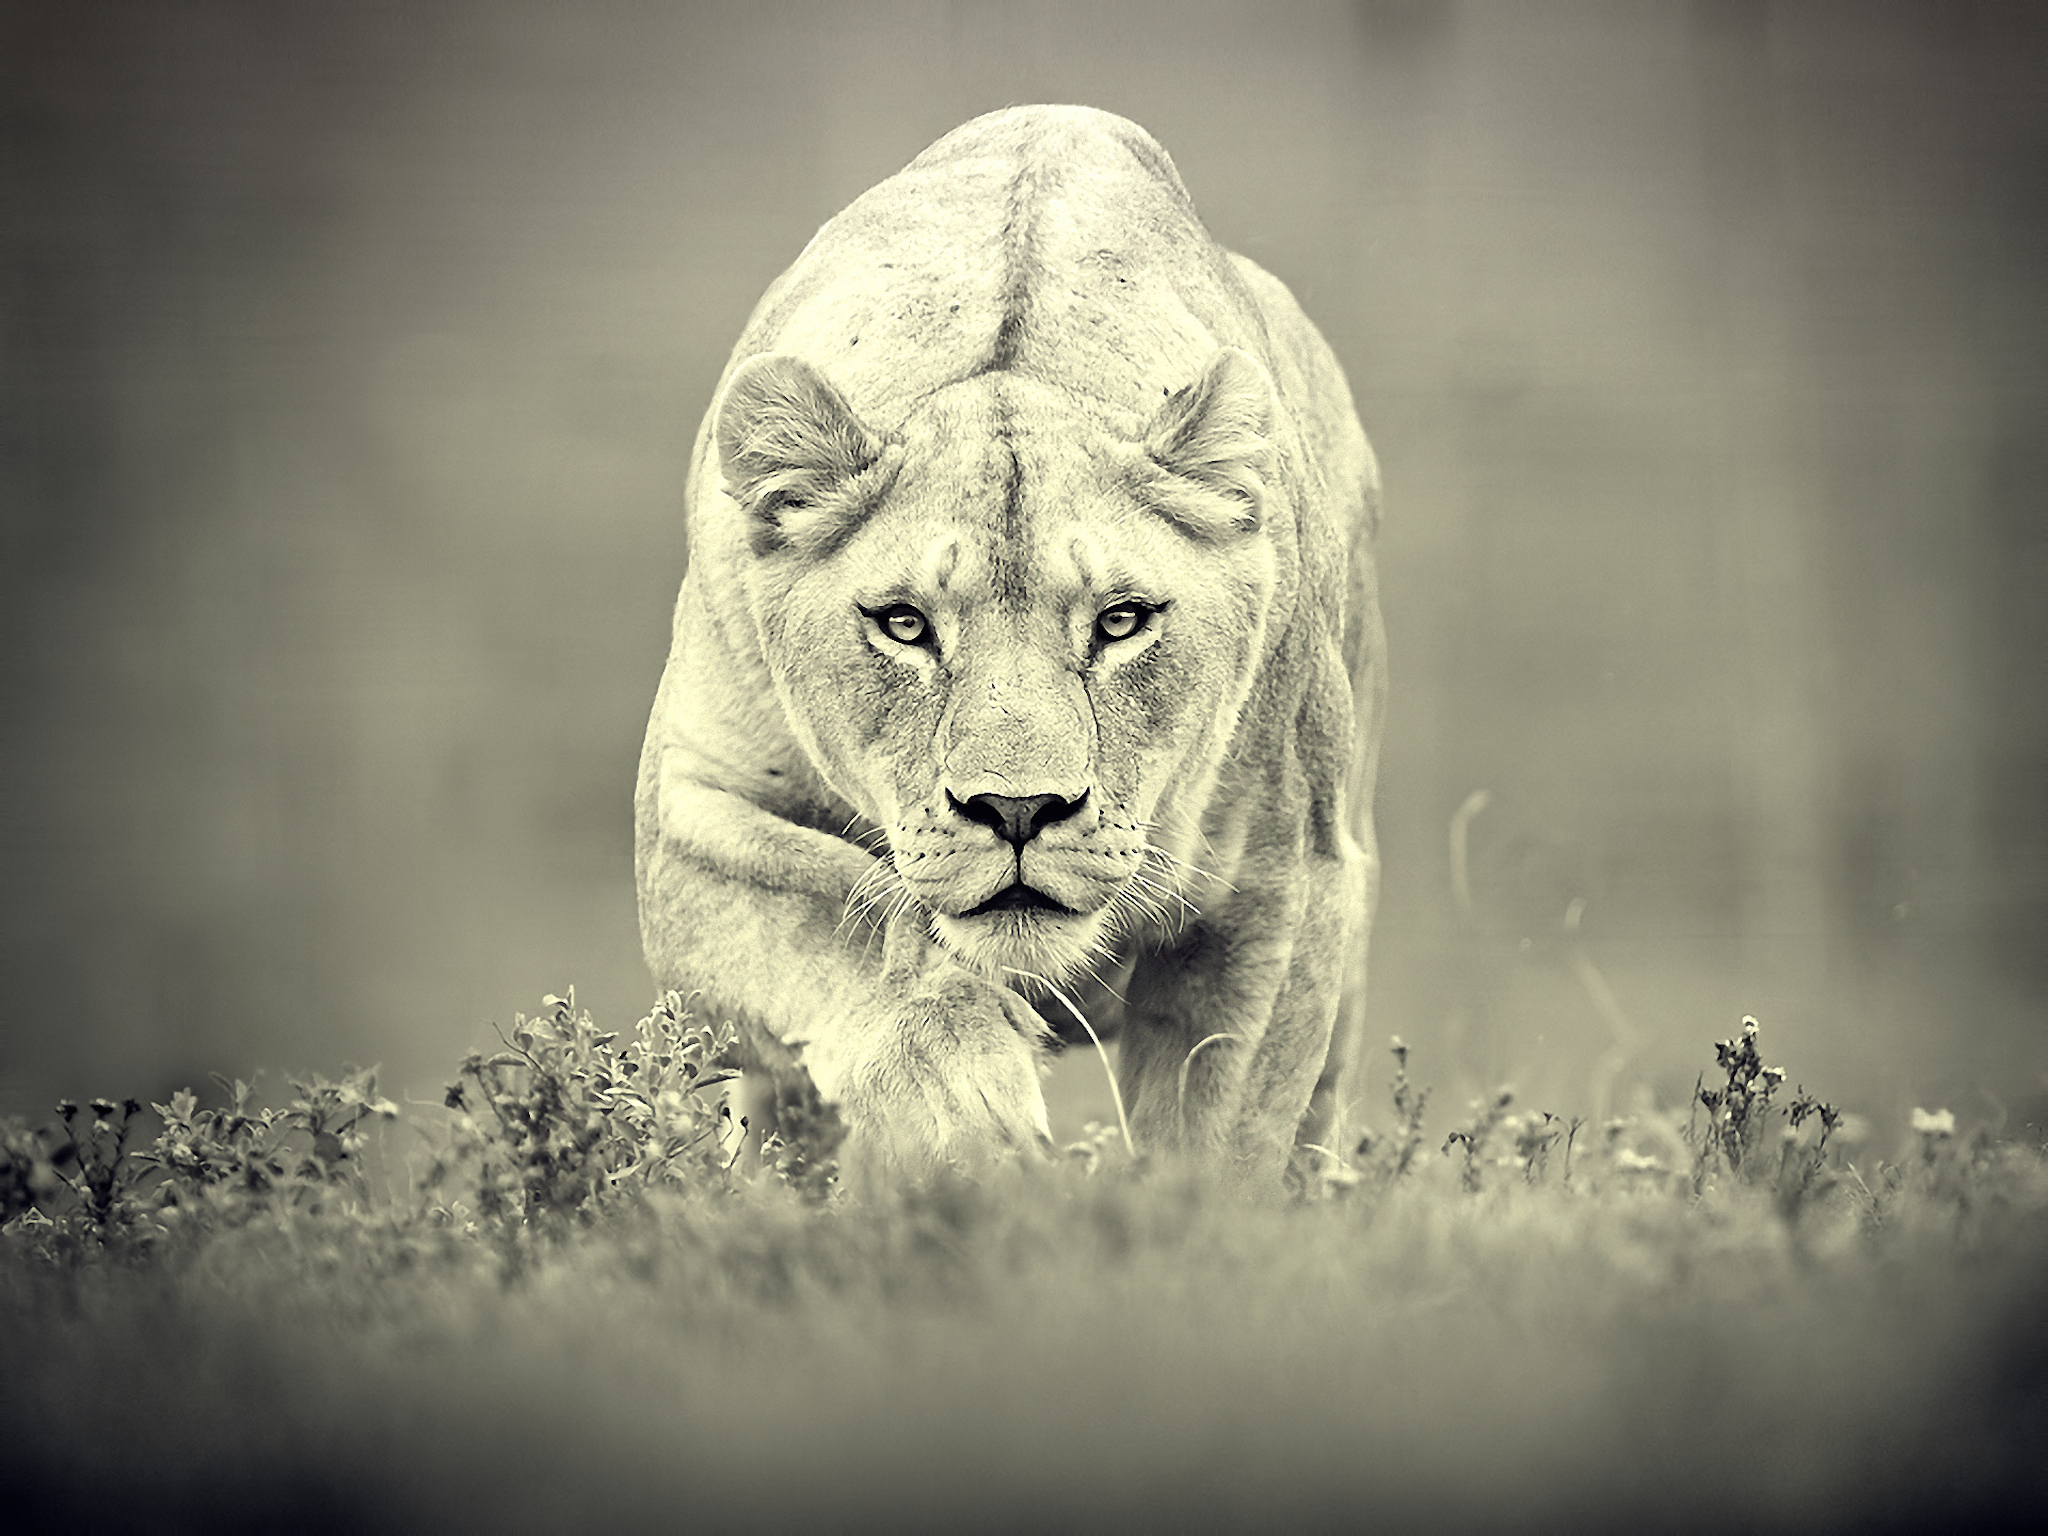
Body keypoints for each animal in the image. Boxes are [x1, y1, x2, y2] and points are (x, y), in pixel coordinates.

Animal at [635, 105, 1384, 1192]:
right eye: (903, 623)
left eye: (1120, 621)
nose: (1019, 810)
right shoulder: (688, 817)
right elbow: (854, 918)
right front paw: (969, 1121)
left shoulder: (1284, 885)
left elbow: (1219, 1138)